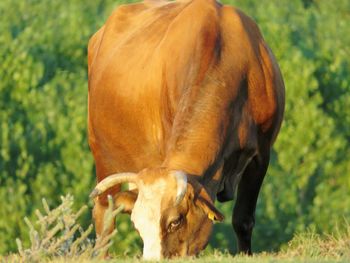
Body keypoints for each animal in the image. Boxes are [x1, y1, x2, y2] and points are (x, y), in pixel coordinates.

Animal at [87, 0, 284, 260]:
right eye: (138, 226)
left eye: (175, 221)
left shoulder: (261, 153)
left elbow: (243, 219)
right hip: (101, 154)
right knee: (104, 216)